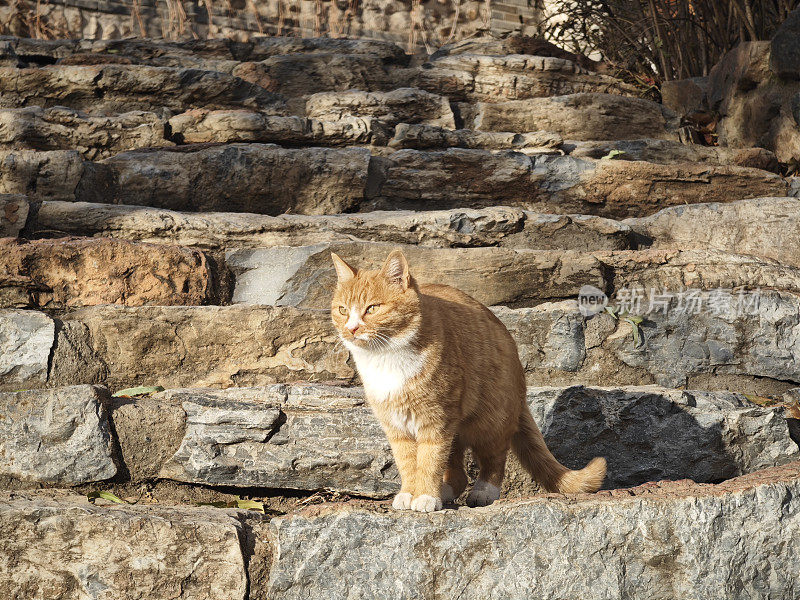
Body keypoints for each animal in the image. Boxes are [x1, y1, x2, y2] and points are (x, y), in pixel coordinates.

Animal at [332, 248, 608, 510]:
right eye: (342, 310)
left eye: (372, 308)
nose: (351, 329)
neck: (386, 358)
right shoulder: (397, 427)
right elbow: (409, 464)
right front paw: (409, 494)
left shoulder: (436, 421)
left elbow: (430, 461)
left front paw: (425, 496)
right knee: (458, 474)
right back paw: (445, 491)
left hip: (489, 420)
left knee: (494, 459)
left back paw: (483, 491)